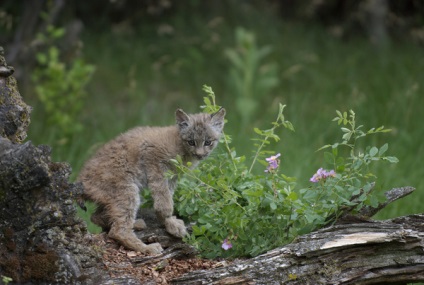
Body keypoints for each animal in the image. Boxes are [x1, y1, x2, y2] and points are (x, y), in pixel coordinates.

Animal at [78, 107, 225, 253]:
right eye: (191, 142)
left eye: (208, 142)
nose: (200, 155)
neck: (181, 146)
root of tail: (80, 179)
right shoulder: (155, 163)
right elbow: (164, 200)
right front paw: (169, 221)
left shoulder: (172, 176)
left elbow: (167, 196)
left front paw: (169, 222)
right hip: (127, 190)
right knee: (117, 231)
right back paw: (147, 248)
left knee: (95, 217)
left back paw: (135, 223)